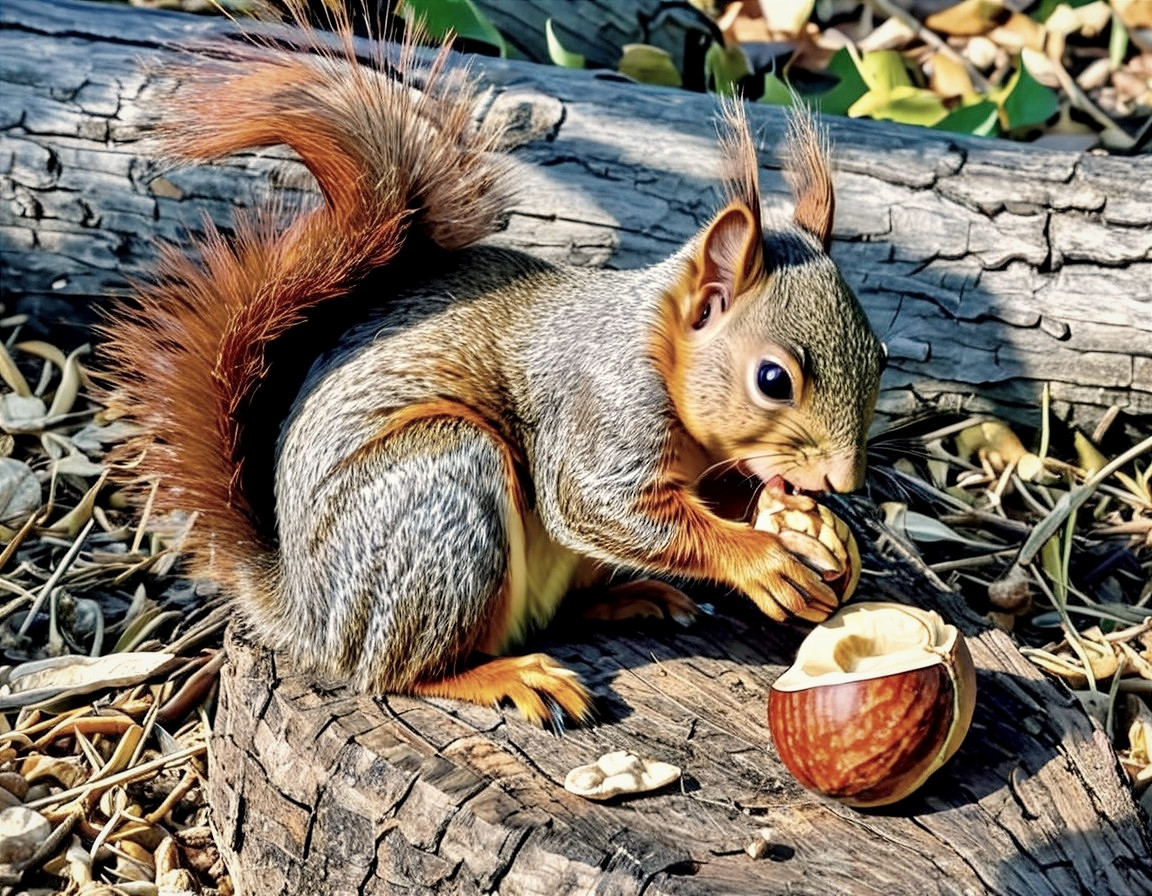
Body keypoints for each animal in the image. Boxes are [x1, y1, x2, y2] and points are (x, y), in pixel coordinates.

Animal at [101, 10, 885, 728]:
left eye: (879, 356)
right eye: (773, 380)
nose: (845, 481)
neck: (656, 348)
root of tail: (304, 610)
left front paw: (806, 525)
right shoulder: (600, 410)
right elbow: (604, 505)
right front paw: (761, 558)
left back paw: (631, 597)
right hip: (444, 491)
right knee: (396, 672)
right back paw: (508, 676)